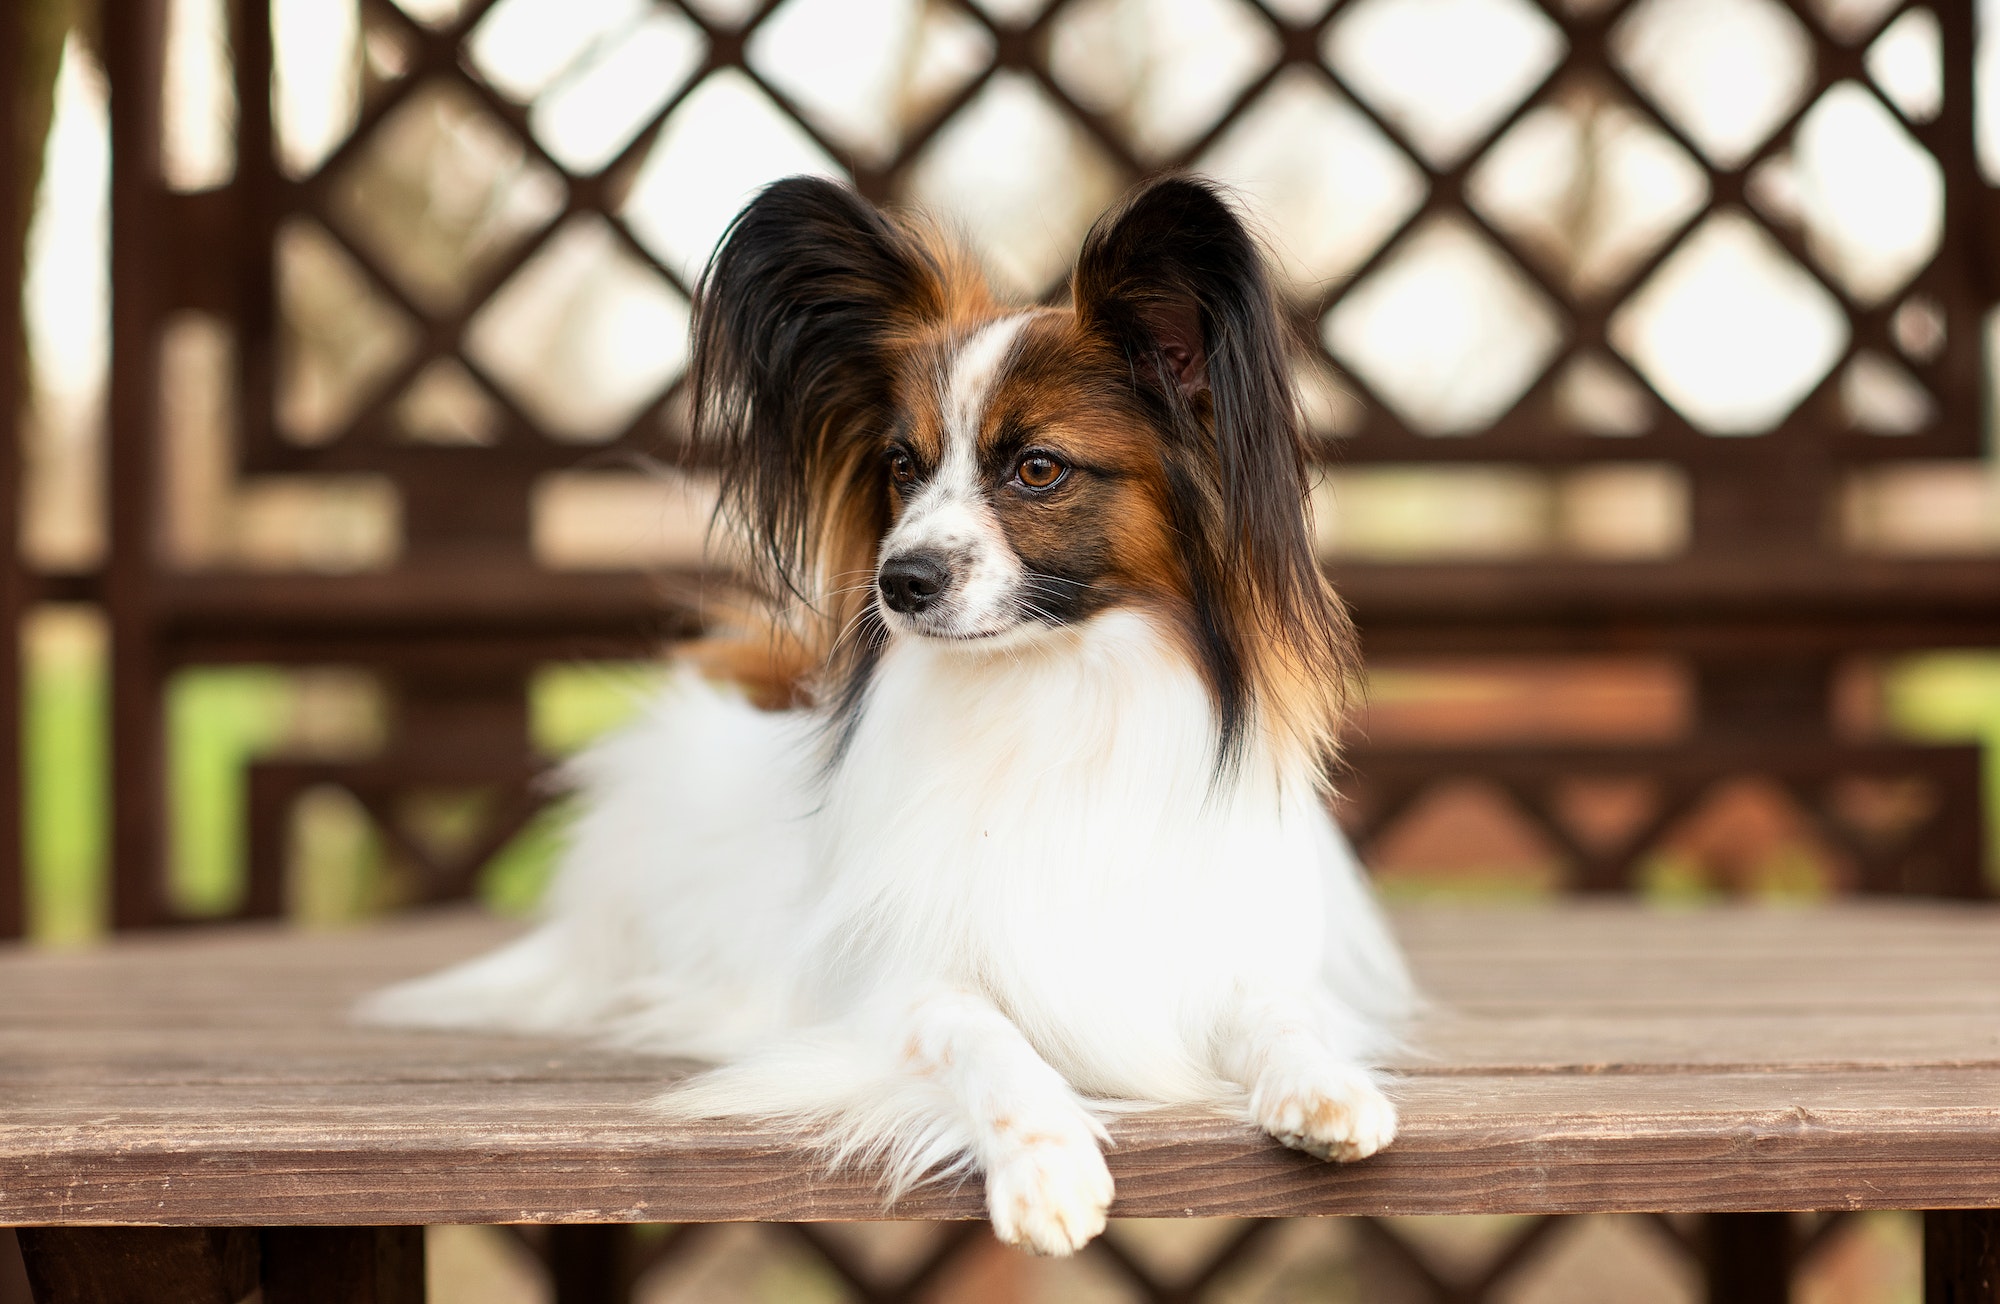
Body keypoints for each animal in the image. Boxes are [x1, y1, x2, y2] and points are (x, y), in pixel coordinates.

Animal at [364, 171, 1424, 1256]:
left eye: (1037, 467)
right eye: (902, 468)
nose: (898, 581)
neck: (1050, 694)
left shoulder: (1218, 955)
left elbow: (1280, 1014)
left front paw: (1325, 1083)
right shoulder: (895, 987)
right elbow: (983, 1035)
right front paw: (1044, 1157)